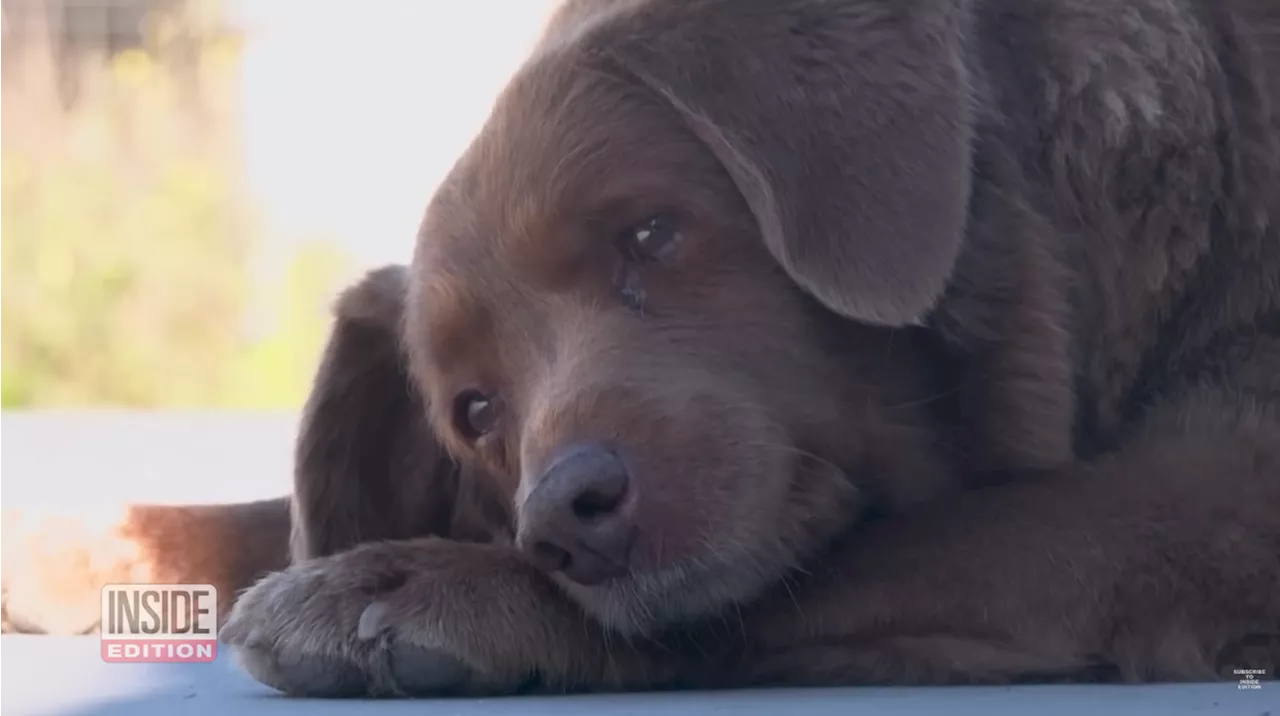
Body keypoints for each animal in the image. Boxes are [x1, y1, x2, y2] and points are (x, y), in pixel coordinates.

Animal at [220, 0, 1280, 696]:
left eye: (650, 233)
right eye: (477, 412)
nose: (562, 519)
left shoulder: (1208, 502)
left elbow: (910, 544)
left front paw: (422, 583)